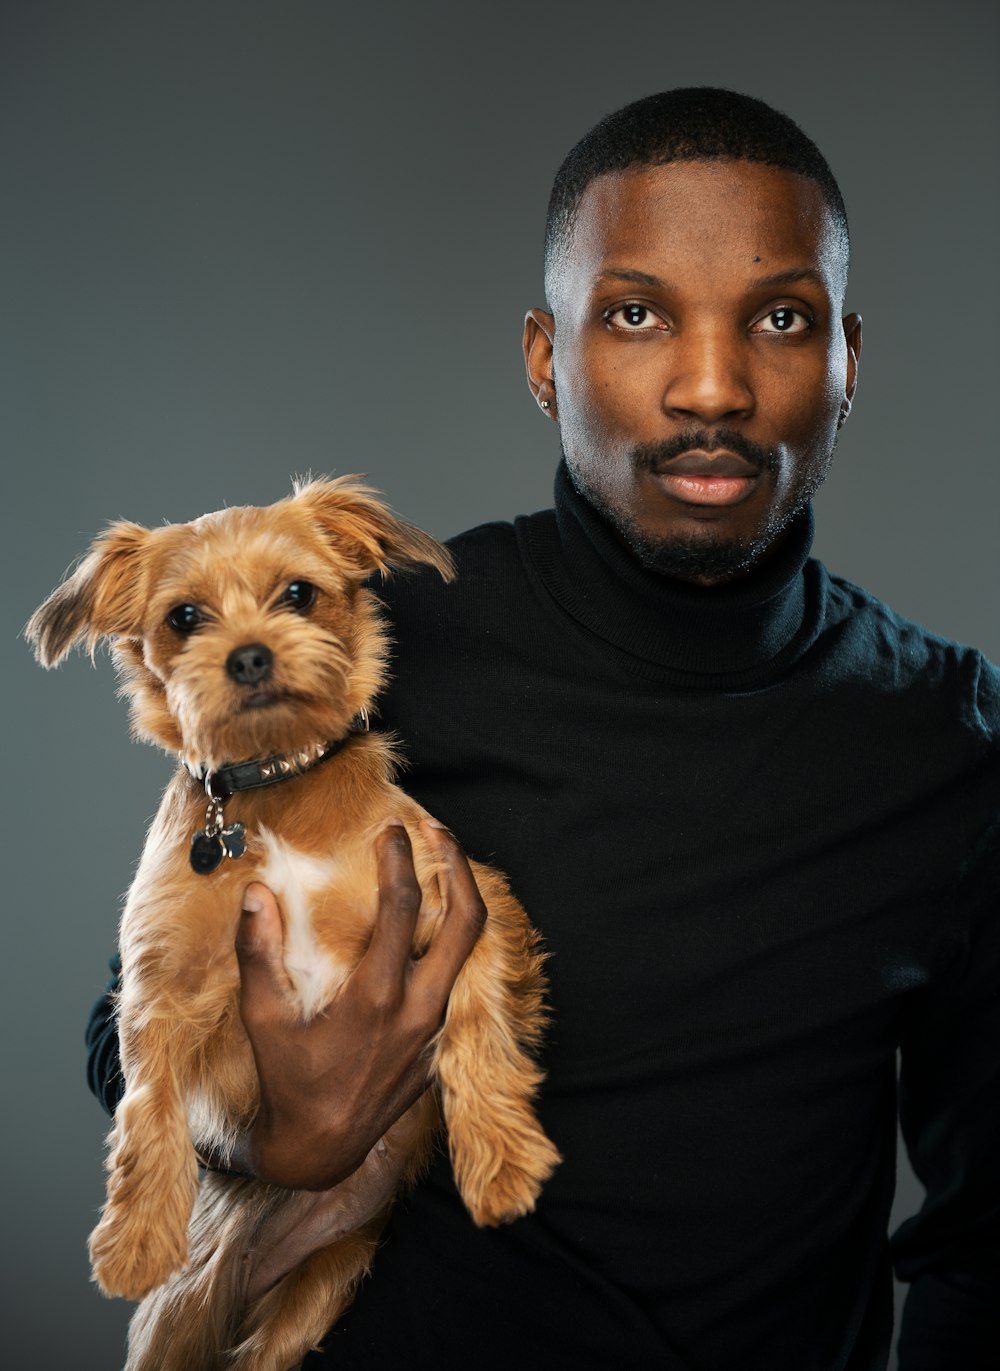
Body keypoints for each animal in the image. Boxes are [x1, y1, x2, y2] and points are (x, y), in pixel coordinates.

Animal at [27, 479, 556, 1371]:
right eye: (184, 617)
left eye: (299, 594)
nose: (247, 656)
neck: (275, 792)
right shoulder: (160, 979)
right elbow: (148, 1106)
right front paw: (133, 1237)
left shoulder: (469, 901)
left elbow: (479, 1032)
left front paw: (503, 1165)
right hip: (181, 1323)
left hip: (319, 1289)